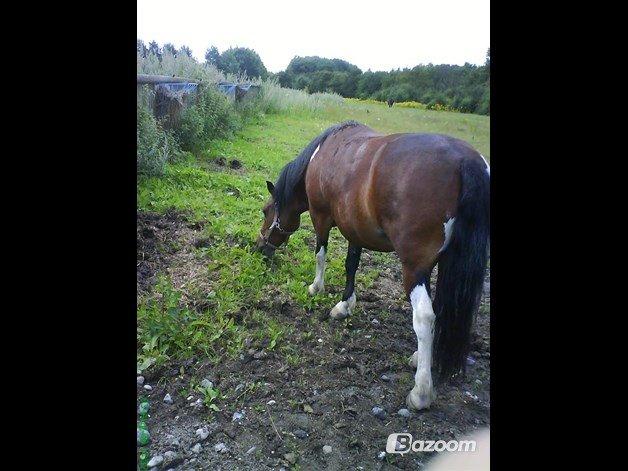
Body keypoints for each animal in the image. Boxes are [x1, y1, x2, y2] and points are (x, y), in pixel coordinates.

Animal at [255, 121, 490, 410]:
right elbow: (351, 264)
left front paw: (316, 287)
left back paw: (421, 391)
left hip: (414, 268)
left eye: (266, 211)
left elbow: (320, 254)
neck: (321, 155)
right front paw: (345, 305)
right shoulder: (355, 229)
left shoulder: (321, 217)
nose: (260, 248)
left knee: (425, 316)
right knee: (443, 308)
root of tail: (466, 161)